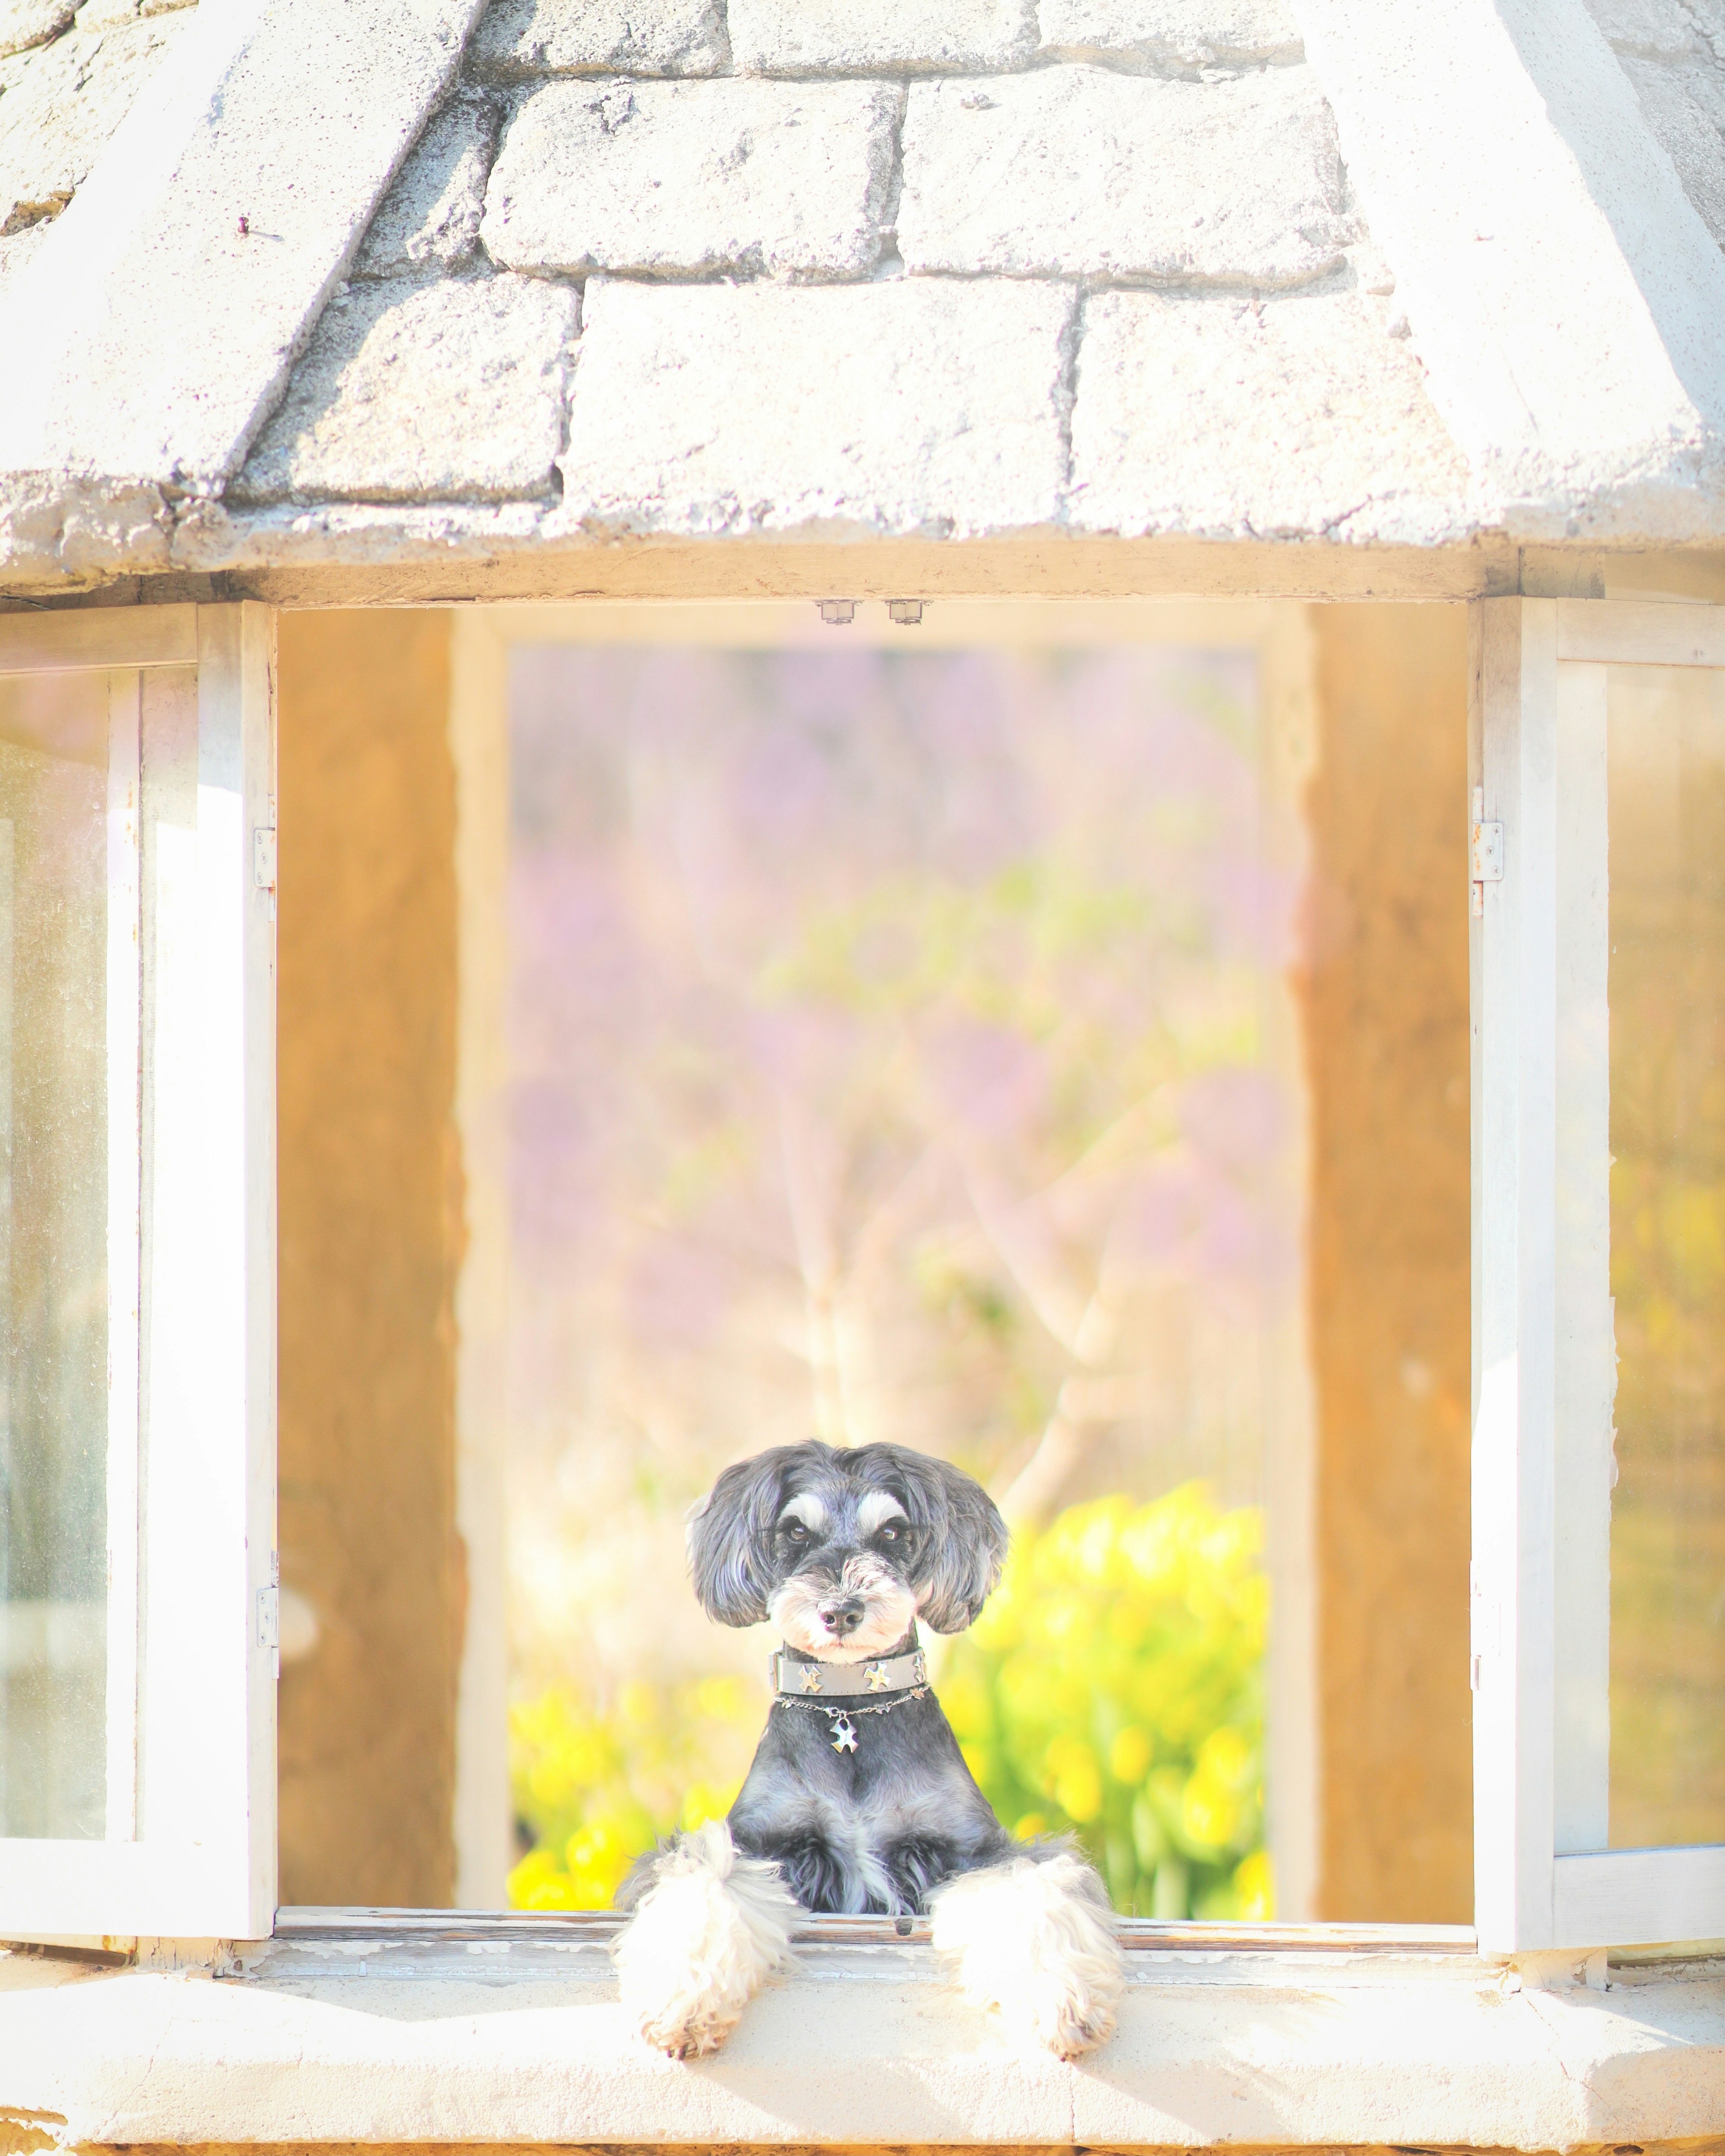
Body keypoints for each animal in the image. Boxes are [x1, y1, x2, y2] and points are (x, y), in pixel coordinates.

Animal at [612, 1440, 1121, 2061]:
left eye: (894, 1532)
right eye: (796, 1531)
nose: (841, 1611)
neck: (849, 1709)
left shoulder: (975, 1850)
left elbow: (1030, 1887)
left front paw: (1062, 1999)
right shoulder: (761, 1841)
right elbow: (707, 1878)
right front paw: (681, 2001)